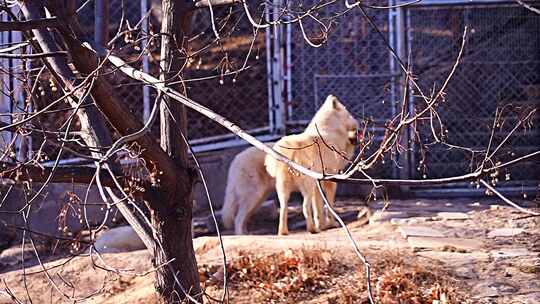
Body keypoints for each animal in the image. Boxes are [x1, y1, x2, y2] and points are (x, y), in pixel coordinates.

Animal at [264, 95, 358, 235]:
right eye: (348, 113)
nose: (357, 124)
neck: (330, 129)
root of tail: (289, 154)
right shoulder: (330, 180)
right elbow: (329, 205)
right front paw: (331, 224)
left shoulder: (317, 184)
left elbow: (318, 207)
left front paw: (322, 225)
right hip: (306, 186)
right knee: (304, 207)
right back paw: (312, 229)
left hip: (282, 188)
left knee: (284, 208)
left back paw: (283, 232)